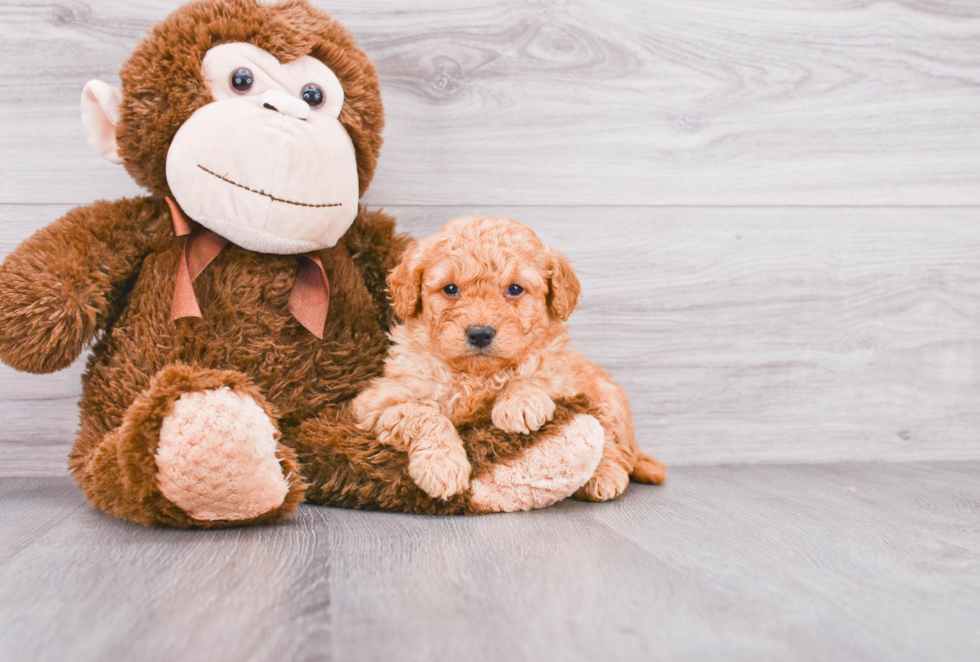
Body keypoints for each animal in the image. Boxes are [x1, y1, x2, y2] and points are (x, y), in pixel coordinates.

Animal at [352, 218, 668, 504]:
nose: (480, 334)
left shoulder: (562, 378)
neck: (476, 375)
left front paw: (519, 402)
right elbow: (424, 414)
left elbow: (535, 373)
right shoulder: (374, 404)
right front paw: (442, 467)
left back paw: (604, 476)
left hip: (606, 397)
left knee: (614, 444)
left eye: (515, 289)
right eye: (450, 289)